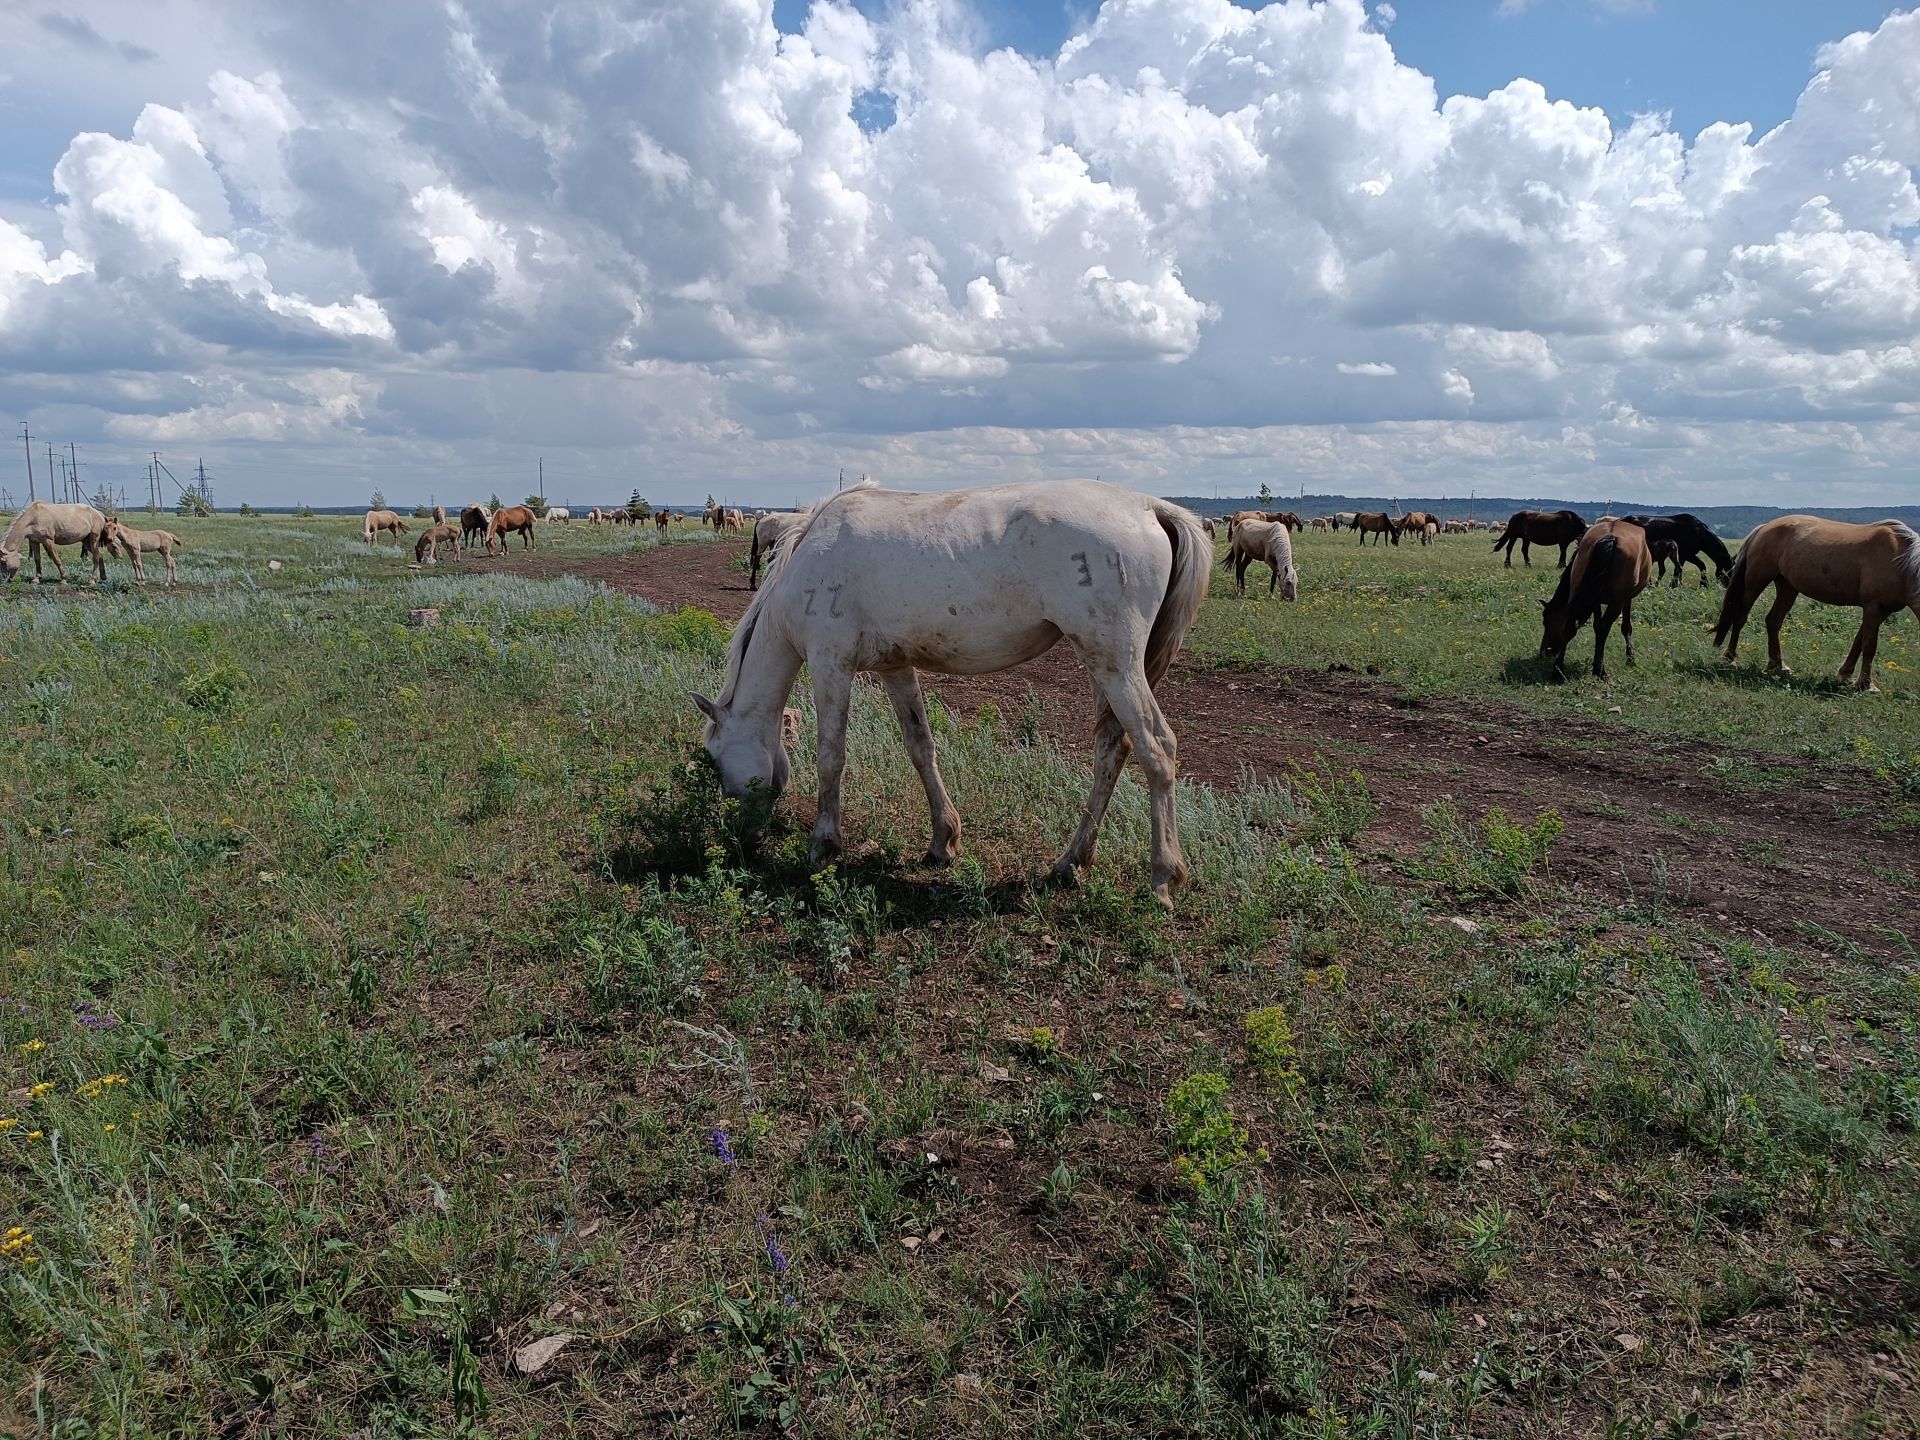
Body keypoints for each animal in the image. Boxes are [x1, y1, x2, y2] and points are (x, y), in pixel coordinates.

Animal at [695, 485, 1213, 913]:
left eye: (715, 758)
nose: (739, 837)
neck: (809, 558)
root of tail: (1150, 507)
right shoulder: (894, 668)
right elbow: (920, 747)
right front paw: (943, 840)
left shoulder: (830, 664)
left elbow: (830, 757)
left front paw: (823, 845)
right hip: (1103, 664)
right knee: (1112, 749)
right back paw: (1070, 863)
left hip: (1113, 661)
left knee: (1156, 750)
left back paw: (1162, 876)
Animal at [1528, 518, 1651, 683]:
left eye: (1546, 621)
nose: (1544, 651)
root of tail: (1611, 537)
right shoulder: (1626, 599)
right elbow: (1625, 628)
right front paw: (1630, 658)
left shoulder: (1595, 600)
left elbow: (1596, 625)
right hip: (1617, 601)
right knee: (1603, 628)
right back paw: (1600, 671)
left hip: (1578, 591)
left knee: (1571, 628)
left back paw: (1558, 671)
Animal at [1712, 518, 1920, 695]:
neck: (1901, 561)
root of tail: (1764, 528)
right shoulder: (1873, 607)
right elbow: (1869, 645)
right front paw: (1865, 684)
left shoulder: (1882, 610)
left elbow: (1858, 641)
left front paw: (1846, 674)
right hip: (1756, 581)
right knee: (1741, 616)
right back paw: (1730, 658)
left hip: (1787, 587)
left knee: (1773, 621)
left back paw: (1778, 665)